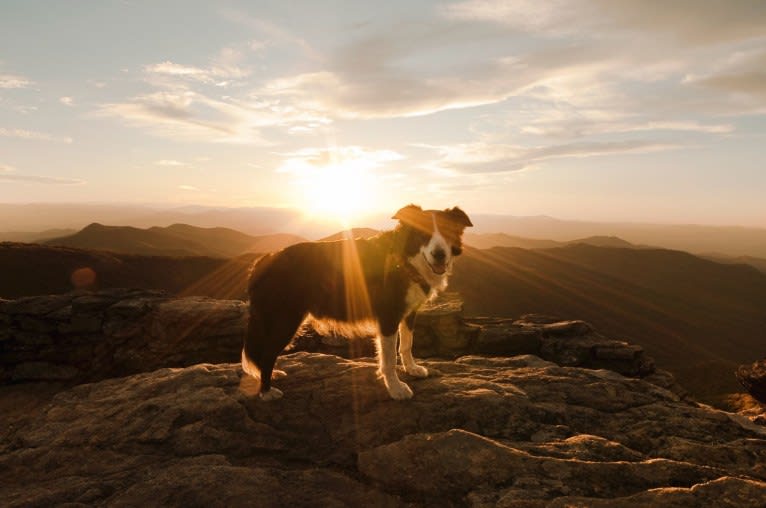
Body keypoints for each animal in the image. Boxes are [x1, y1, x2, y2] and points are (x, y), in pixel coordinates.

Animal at [243, 204, 472, 398]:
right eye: (422, 233)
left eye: (448, 232)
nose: (439, 255)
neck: (405, 259)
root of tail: (264, 260)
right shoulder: (388, 316)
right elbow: (389, 358)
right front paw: (396, 388)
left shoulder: (409, 311)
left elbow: (407, 344)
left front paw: (412, 369)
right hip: (284, 319)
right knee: (267, 352)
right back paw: (267, 391)